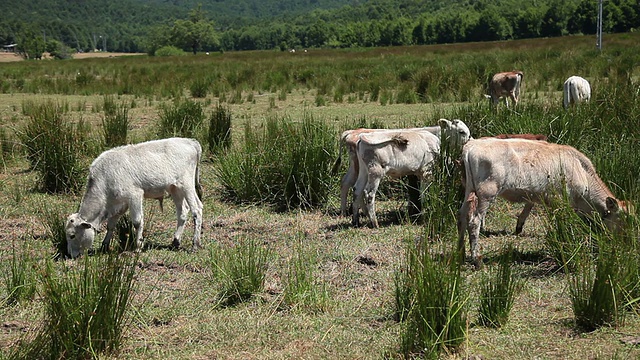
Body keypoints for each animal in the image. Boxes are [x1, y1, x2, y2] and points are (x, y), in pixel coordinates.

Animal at [63, 136, 204, 258]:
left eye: (72, 235)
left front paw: (138, 246)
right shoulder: (119, 204)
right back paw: (175, 242)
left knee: (196, 210)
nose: (70, 255)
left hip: (186, 184)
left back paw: (195, 244)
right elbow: (111, 225)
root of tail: (189, 141)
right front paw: (104, 245)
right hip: (175, 188)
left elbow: (137, 222)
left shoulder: (135, 195)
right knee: (183, 212)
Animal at [458, 138, 628, 268]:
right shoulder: (561, 200)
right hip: (487, 193)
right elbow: (561, 223)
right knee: (474, 221)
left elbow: (532, 208)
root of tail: (471, 145)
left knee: (462, 217)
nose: (627, 242)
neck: (583, 171)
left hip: (469, 190)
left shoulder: (542, 197)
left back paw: (461, 253)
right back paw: (476, 260)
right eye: (624, 219)